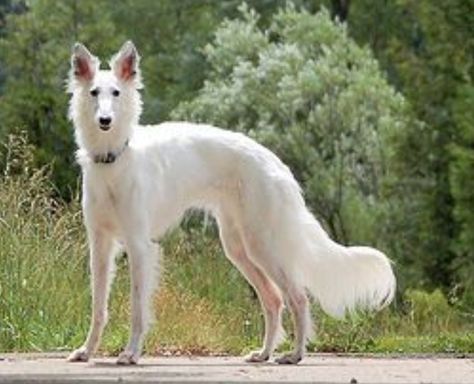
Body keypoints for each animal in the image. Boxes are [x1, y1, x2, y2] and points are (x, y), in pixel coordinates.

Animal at [65, 41, 392, 366]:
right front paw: (87, 350)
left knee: (297, 297)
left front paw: (131, 353)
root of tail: (276, 163)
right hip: (239, 247)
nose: (105, 121)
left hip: (262, 243)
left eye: (116, 93)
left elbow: (137, 308)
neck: (114, 159)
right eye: (93, 92)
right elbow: (98, 306)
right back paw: (264, 353)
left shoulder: (139, 245)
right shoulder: (100, 244)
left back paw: (295, 354)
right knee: (274, 299)